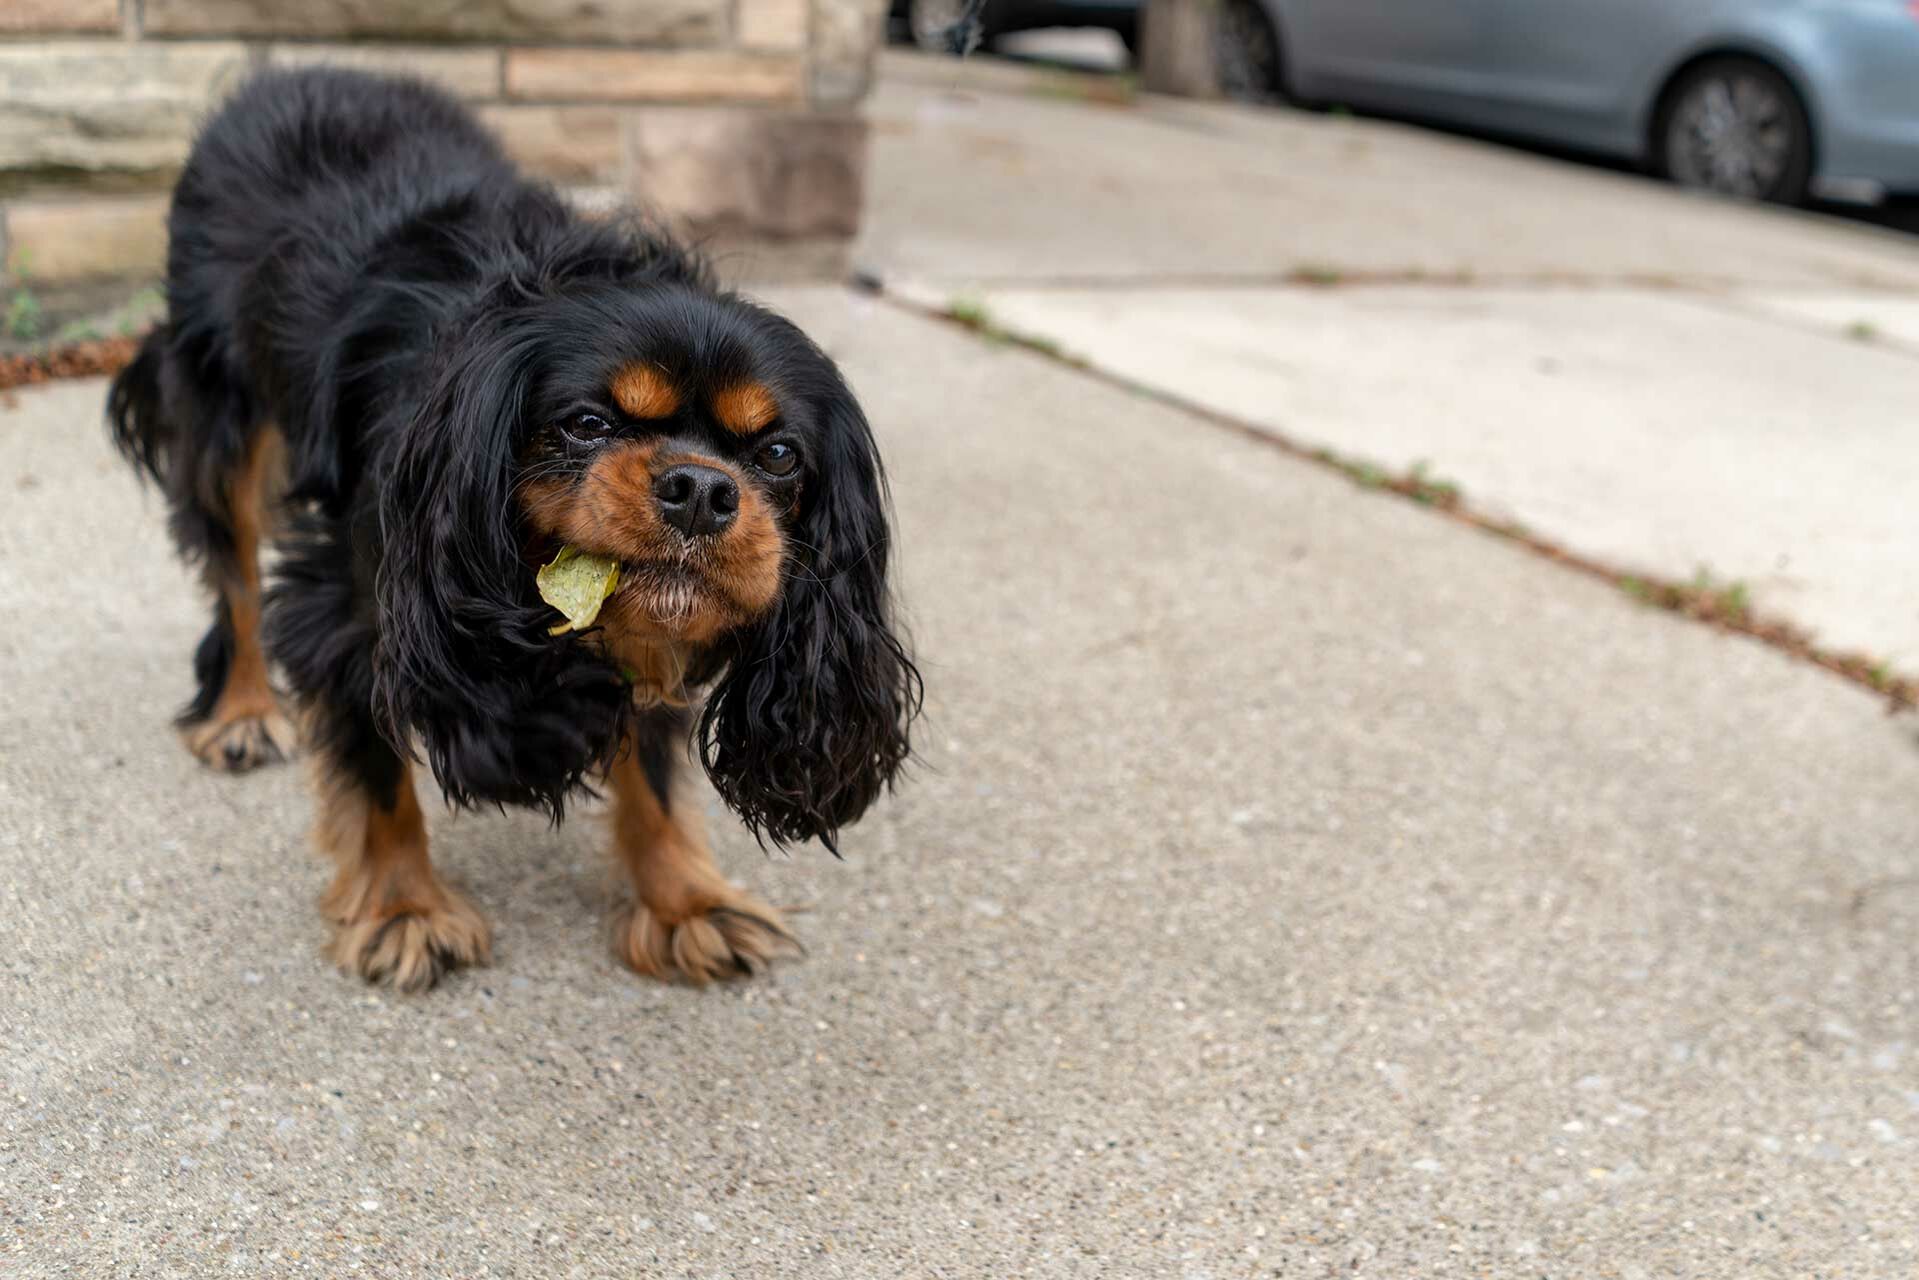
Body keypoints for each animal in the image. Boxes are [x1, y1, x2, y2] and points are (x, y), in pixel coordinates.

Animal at [110, 67, 921, 990]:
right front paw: (404, 909)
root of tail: (283, 74)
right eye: (586, 424)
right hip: (224, 424)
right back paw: (243, 711)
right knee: (236, 578)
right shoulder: (353, 607)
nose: (702, 489)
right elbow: (374, 770)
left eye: (779, 455)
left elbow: (654, 769)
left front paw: (685, 902)